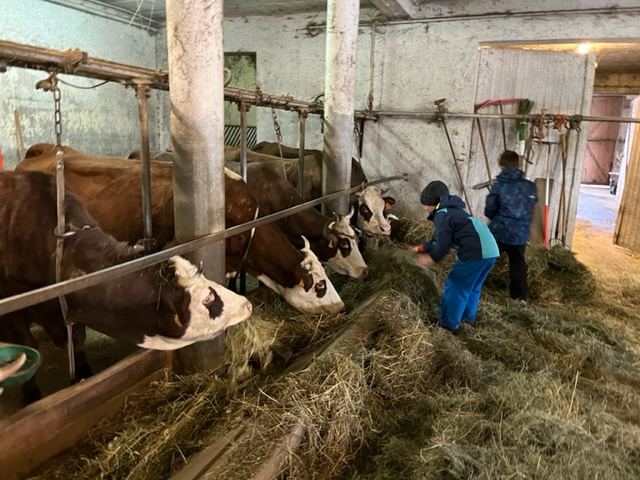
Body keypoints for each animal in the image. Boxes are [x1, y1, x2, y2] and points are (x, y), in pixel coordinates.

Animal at [0, 169, 255, 402]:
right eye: (208, 298)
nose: (247, 304)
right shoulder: (12, 313)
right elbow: (28, 348)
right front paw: (31, 395)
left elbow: (78, 339)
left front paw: (83, 374)